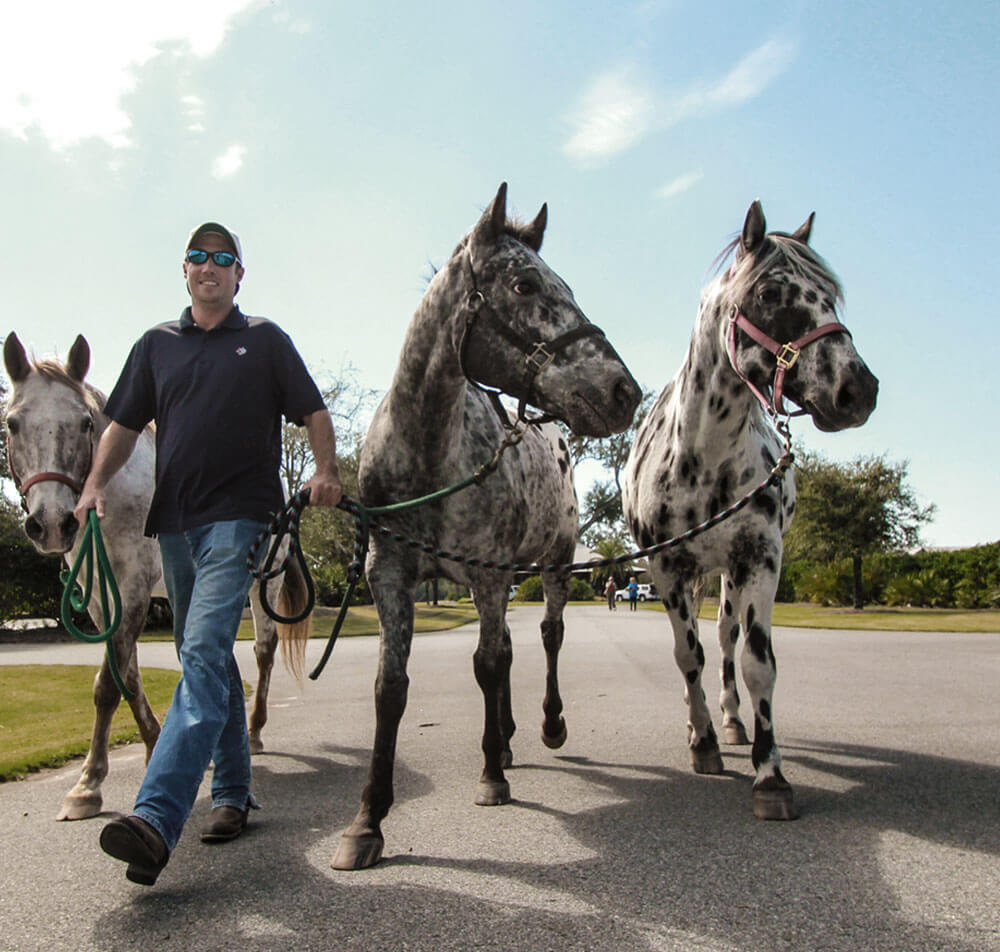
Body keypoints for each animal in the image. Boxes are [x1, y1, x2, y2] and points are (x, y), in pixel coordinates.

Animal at [328, 180, 640, 872]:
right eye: (524, 284)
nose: (623, 392)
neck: (428, 454)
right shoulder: (390, 573)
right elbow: (391, 687)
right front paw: (366, 822)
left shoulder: (490, 576)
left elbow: (488, 663)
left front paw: (491, 774)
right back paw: (509, 738)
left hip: (552, 563)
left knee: (545, 637)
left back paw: (542, 727)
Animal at [620, 199, 880, 820]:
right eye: (769, 293)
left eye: (831, 295)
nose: (857, 390)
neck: (704, 455)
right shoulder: (668, 569)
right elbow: (685, 656)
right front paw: (703, 743)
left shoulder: (760, 559)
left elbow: (758, 663)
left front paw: (770, 775)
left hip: (730, 577)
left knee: (726, 640)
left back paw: (735, 722)